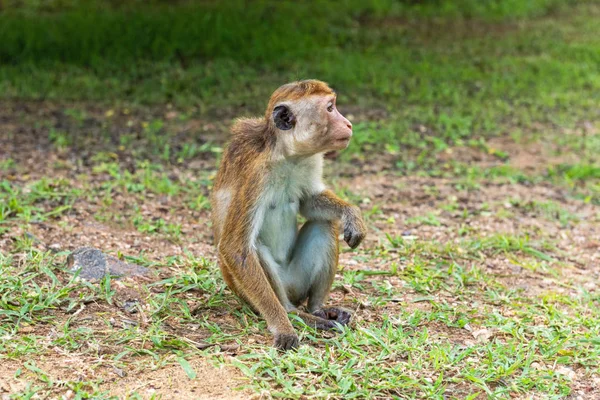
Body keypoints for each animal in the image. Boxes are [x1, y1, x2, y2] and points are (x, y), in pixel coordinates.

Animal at [213, 79, 368, 348]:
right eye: (330, 108)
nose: (348, 123)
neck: (287, 156)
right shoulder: (255, 176)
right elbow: (236, 248)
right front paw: (282, 328)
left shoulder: (311, 160)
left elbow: (309, 203)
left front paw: (352, 214)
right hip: (259, 292)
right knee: (255, 249)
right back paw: (292, 313)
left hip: (298, 281)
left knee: (325, 224)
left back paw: (317, 308)